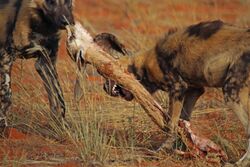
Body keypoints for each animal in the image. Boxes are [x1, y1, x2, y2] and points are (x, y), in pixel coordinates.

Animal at [0, 0, 74, 134]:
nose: (66, 21)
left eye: (68, 1)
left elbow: (58, 97)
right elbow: (7, 95)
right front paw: (3, 125)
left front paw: (62, 126)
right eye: (51, 2)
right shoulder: (6, 57)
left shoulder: (46, 62)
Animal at [95, 20, 250, 166]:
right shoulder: (194, 90)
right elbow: (183, 122)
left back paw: (240, 163)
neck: (145, 64)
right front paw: (186, 147)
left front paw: (163, 149)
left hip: (230, 92)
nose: (104, 87)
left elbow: (171, 125)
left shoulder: (177, 88)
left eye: (106, 71)